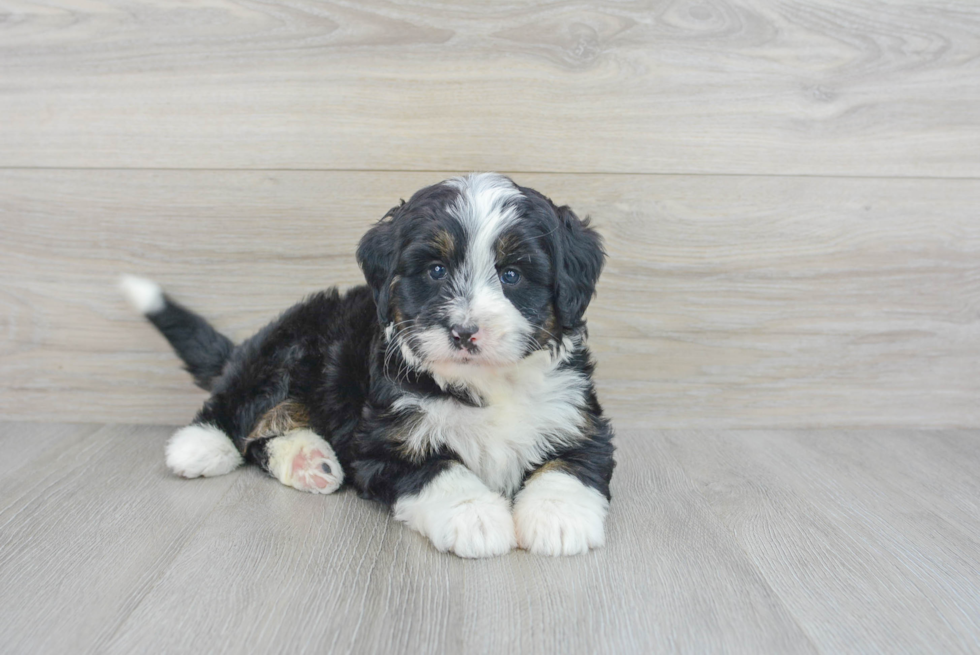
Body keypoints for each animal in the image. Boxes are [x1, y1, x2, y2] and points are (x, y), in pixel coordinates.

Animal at [120, 173, 612, 560]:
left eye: (511, 275)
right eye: (435, 270)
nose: (463, 331)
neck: (484, 381)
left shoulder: (576, 417)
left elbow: (570, 463)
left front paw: (558, 518)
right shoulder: (384, 440)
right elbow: (440, 470)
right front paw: (474, 517)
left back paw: (309, 460)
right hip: (292, 344)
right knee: (240, 400)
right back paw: (201, 444)